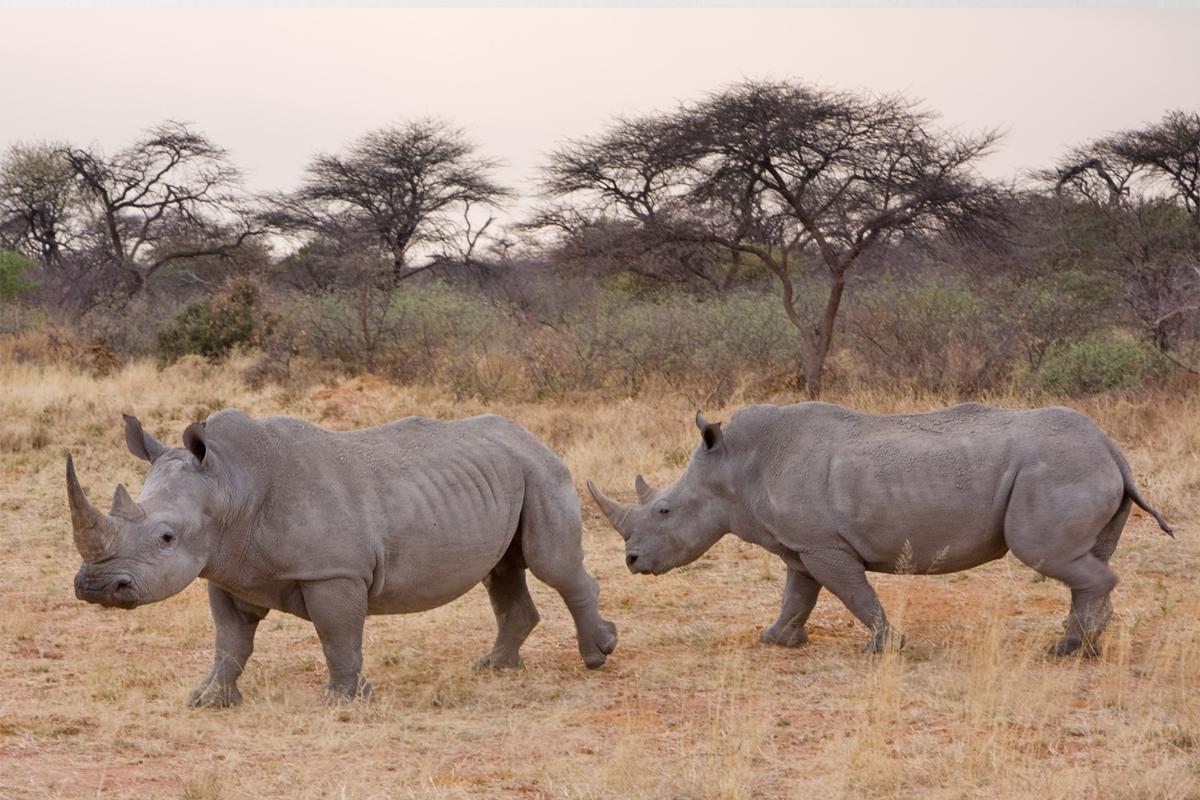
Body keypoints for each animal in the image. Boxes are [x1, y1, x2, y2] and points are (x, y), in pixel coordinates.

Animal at [68, 410, 619, 705]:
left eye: (166, 537)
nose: (95, 588)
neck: (229, 486)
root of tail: (532, 436)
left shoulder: (334, 573)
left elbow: (337, 635)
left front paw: (341, 700)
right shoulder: (226, 572)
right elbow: (229, 643)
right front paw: (208, 700)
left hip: (543, 472)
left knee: (552, 565)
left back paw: (597, 656)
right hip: (506, 475)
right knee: (501, 571)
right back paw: (493, 668)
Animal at [588, 402, 1171, 662]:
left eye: (664, 511)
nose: (632, 561)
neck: (734, 466)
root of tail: (1112, 447)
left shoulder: (823, 544)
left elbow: (853, 593)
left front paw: (884, 648)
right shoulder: (801, 544)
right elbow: (797, 594)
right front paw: (776, 640)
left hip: (1058, 469)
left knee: (1052, 558)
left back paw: (1066, 651)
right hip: (1078, 467)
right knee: (1083, 561)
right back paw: (1083, 645)